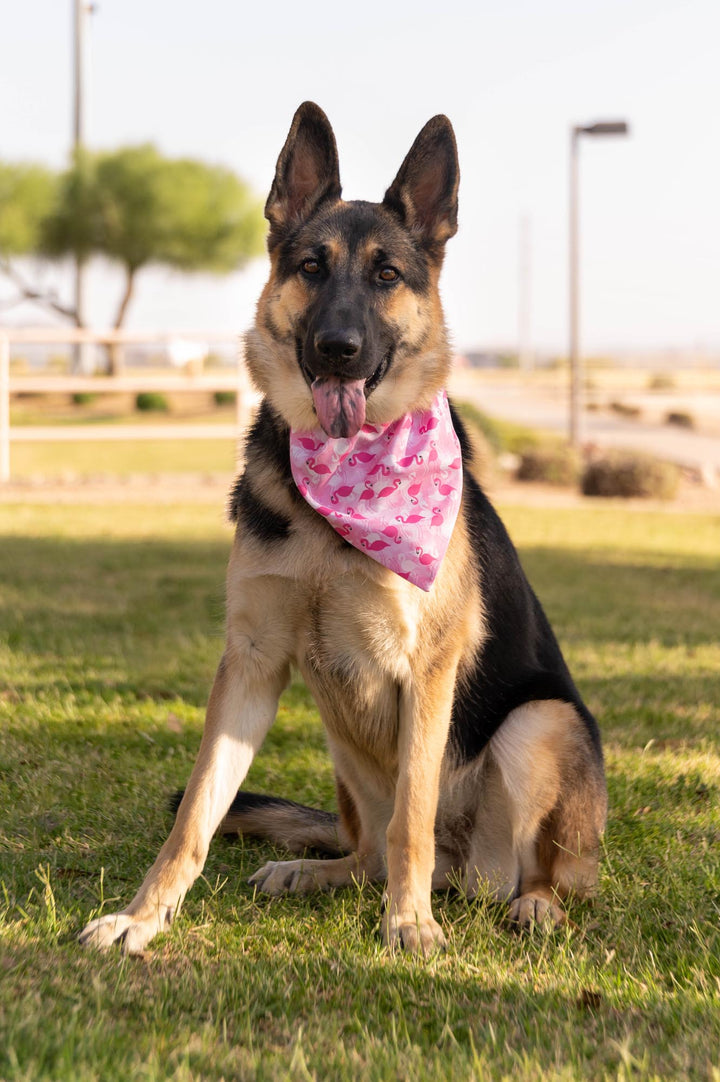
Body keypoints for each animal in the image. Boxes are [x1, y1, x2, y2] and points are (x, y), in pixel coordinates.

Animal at [80, 105, 606, 956]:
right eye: (311, 267)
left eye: (387, 275)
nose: (338, 349)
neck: (343, 481)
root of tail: (467, 874)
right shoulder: (251, 660)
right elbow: (196, 814)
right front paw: (142, 917)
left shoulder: (428, 671)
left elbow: (411, 820)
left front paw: (409, 923)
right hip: (341, 739)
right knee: (363, 849)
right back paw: (315, 871)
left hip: (540, 725)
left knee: (521, 866)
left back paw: (529, 903)